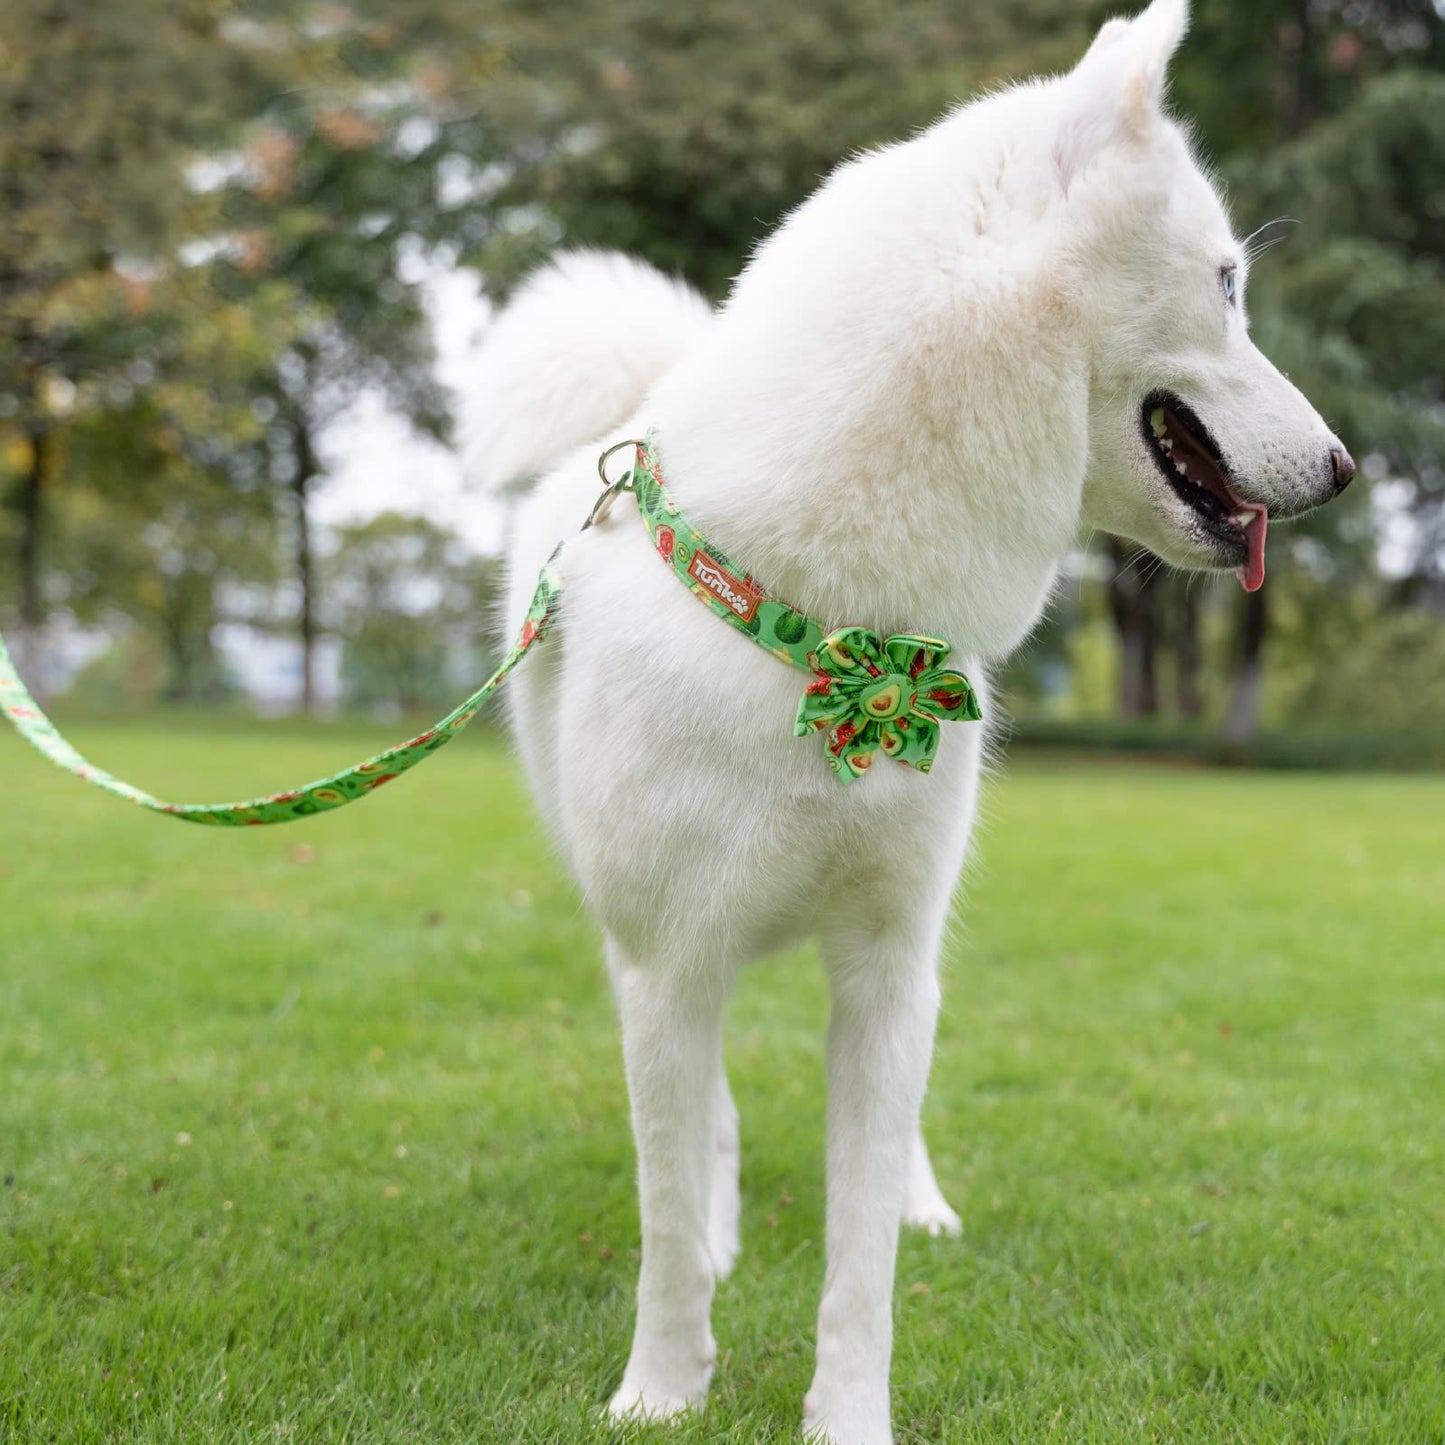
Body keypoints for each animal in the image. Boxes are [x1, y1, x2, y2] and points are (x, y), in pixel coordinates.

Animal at [468, 5, 1346, 1439]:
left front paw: (847, 1411)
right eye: (1225, 282)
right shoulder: (666, 961)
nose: (1341, 468)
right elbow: (663, 1213)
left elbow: (860, 1255)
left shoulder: (888, 967)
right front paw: (663, 1385)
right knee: (702, 1118)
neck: (831, 631)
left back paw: (924, 1198)